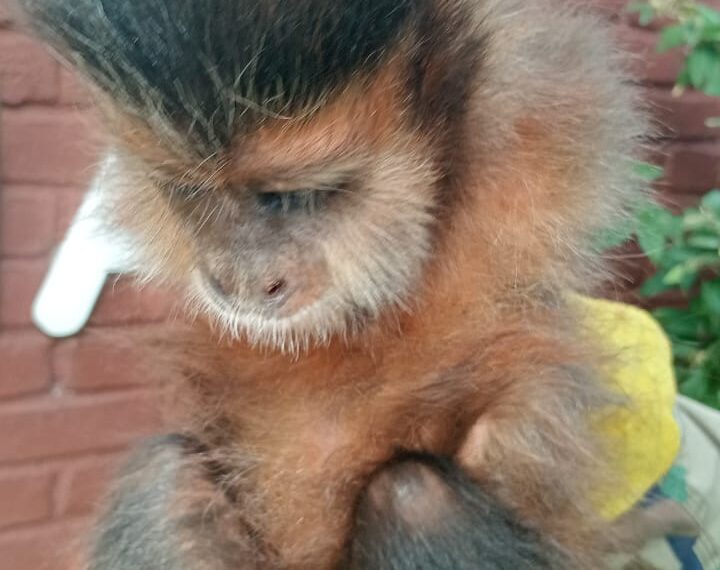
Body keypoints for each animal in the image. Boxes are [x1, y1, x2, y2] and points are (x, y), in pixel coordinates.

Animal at [17, 0, 651, 568]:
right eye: (190, 192)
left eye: (293, 196)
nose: (241, 278)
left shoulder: (534, 135)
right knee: (164, 482)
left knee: (415, 497)